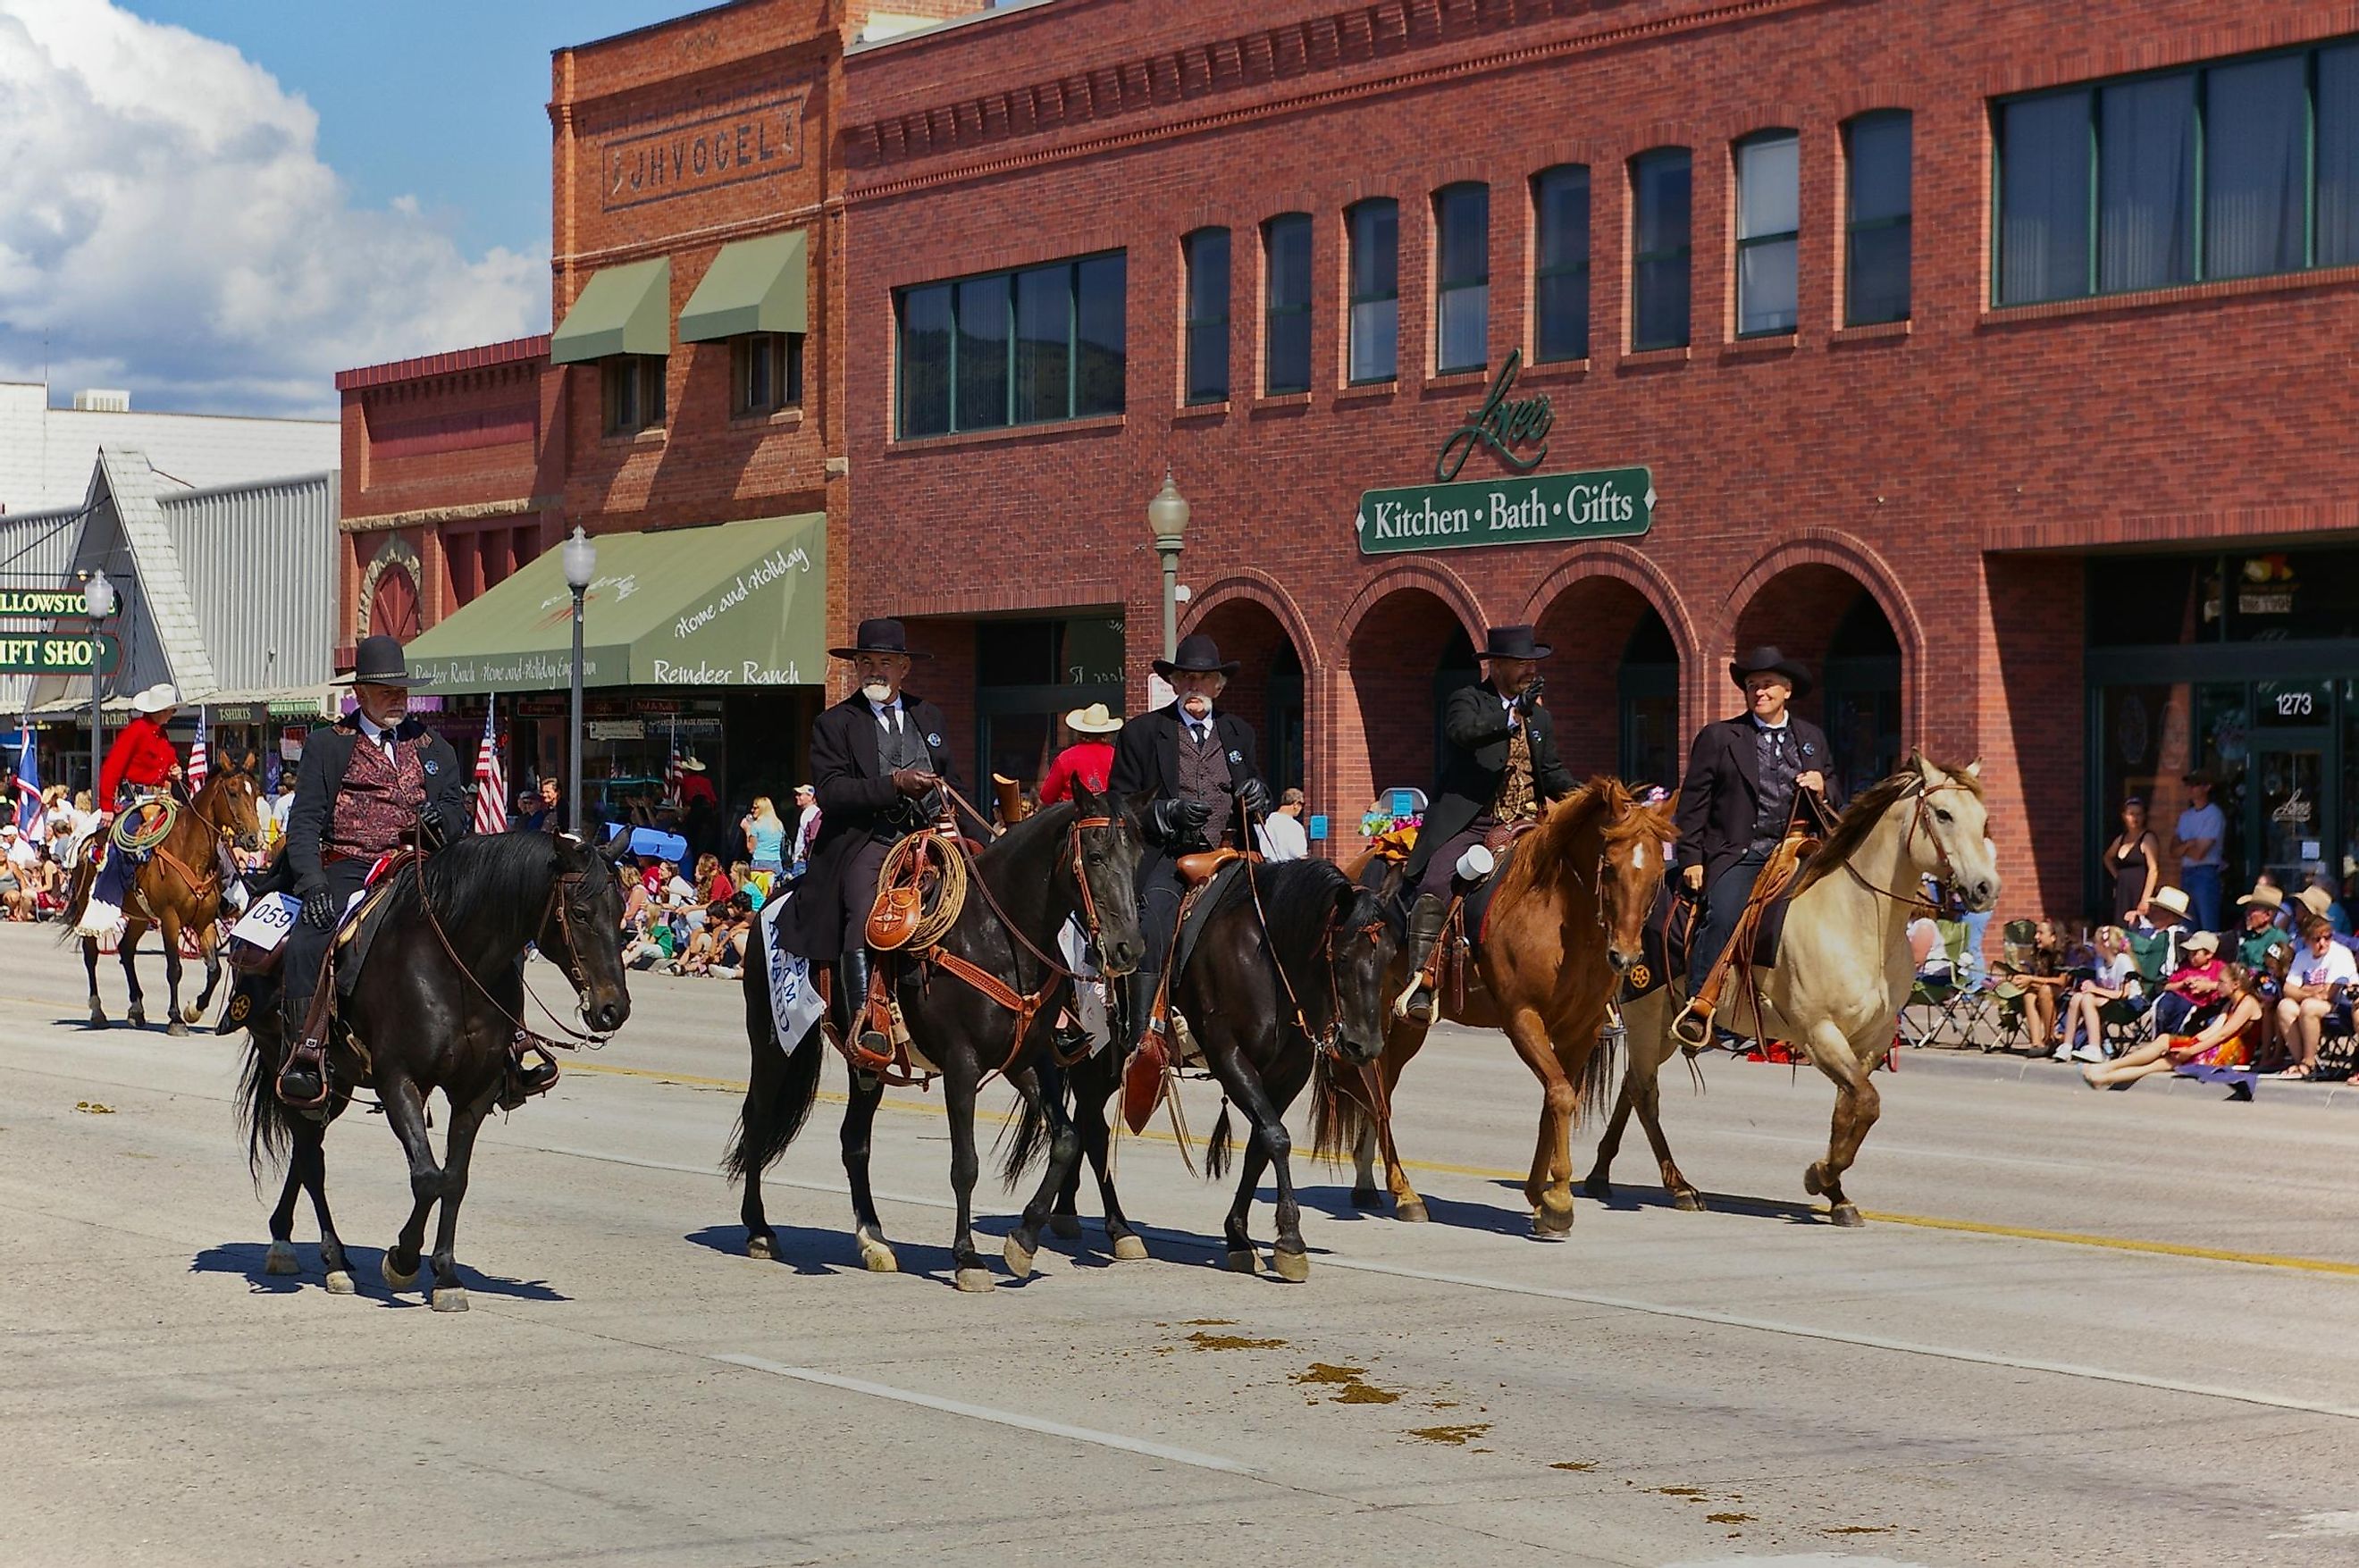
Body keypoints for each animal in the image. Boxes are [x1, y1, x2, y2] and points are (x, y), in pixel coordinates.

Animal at [63, 759, 264, 1037]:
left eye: (255, 793)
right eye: (232, 792)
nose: (255, 839)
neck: (190, 851)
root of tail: (87, 841)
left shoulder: (204, 922)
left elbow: (214, 970)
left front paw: (194, 1009)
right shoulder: (170, 919)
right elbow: (174, 969)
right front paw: (176, 1019)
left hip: (139, 916)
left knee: (126, 950)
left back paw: (136, 1009)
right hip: (87, 907)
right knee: (91, 954)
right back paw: (98, 1011)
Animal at [237, 829, 636, 1311]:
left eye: (621, 913)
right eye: (579, 912)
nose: (613, 1009)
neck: (454, 967)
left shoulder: (475, 1092)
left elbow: (454, 1179)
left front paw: (446, 1275)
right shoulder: (399, 1082)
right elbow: (428, 1178)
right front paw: (403, 1260)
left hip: (335, 1086)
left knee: (306, 1150)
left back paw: (293, 1240)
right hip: (289, 1069)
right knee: (313, 1159)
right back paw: (329, 1259)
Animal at [731, 777, 1146, 1282]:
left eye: (1138, 855)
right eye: (1096, 855)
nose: (1129, 949)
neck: (997, 934)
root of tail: (772, 903)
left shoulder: (1028, 1059)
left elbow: (1067, 1139)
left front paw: (1023, 1240)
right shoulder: (961, 1064)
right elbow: (964, 1164)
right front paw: (967, 1258)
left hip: (865, 1066)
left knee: (854, 1143)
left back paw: (874, 1239)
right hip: (772, 1041)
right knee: (758, 1118)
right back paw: (758, 1230)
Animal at [1330, 777, 1679, 1245]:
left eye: (1657, 875)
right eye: (1610, 868)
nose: (1625, 957)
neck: (1561, 917)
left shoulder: (1580, 1031)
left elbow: (1555, 1100)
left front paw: (1540, 1197)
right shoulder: (1522, 1019)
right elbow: (1562, 1096)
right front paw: (1559, 1201)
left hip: (1404, 1028)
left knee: (1378, 1084)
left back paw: (1368, 1182)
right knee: (1378, 1090)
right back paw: (1405, 1193)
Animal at [1575, 754, 2000, 1226]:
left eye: (1984, 820)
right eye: (1943, 815)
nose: (1985, 888)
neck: (1857, 921)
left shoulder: (1869, 1043)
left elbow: (1850, 1110)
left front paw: (1837, 1193)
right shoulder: (1819, 1034)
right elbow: (1867, 1103)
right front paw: (1820, 1176)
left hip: (1666, 1020)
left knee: (1632, 1085)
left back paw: (1601, 1173)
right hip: (1646, 1013)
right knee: (1645, 1093)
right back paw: (1680, 1187)